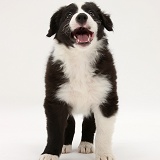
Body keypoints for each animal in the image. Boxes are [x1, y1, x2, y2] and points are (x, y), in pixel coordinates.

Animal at [39, 1, 118, 160]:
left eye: (92, 13)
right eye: (69, 14)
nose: (82, 16)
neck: (80, 58)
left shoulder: (106, 98)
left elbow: (103, 131)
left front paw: (104, 154)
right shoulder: (55, 100)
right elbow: (55, 130)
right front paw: (50, 153)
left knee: (89, 122)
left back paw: (86, 144)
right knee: (70, 123)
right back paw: (65, 145)